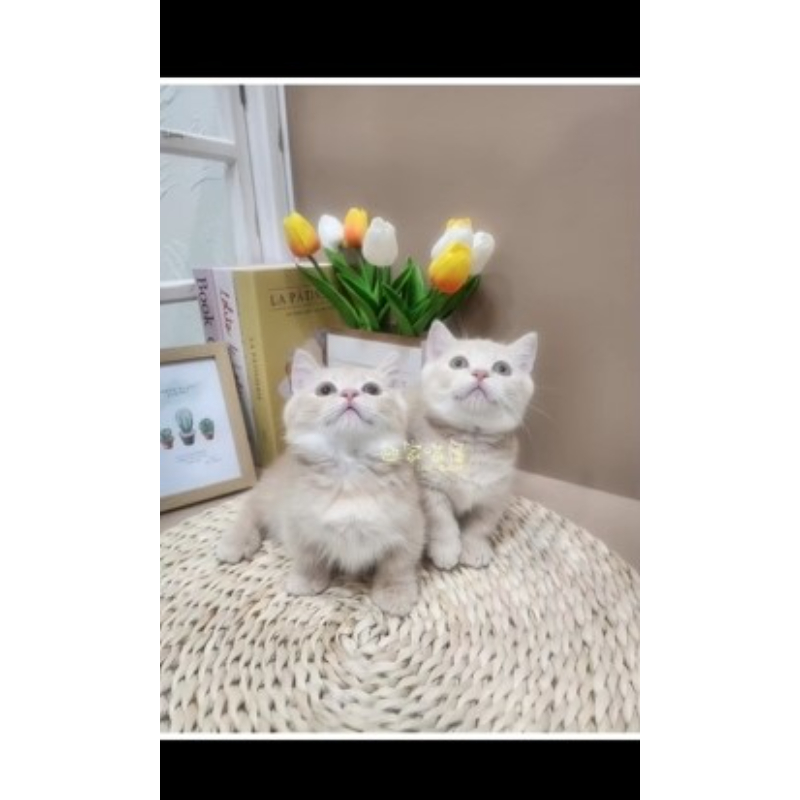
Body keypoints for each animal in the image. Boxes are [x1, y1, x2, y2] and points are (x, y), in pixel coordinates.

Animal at [216, 349, 424, 617]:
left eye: (372, 389)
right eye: (325, 389)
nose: (349, 393)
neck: (349, 472)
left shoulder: (410, 525)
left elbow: (397, 565)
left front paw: (395, 593)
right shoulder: (296, 523)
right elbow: (308, 557)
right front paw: (306, 581)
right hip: (268, 494)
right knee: (249, 512)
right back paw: (235, 542)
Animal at [409, 320, 538, 570]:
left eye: (502, 368)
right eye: (458, 362)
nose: (480, 373)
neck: (471, 444)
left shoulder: (497, 494)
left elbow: (481, 525)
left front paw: (474, 548)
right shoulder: (429, 487)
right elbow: (442, 520)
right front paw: (446, 549)